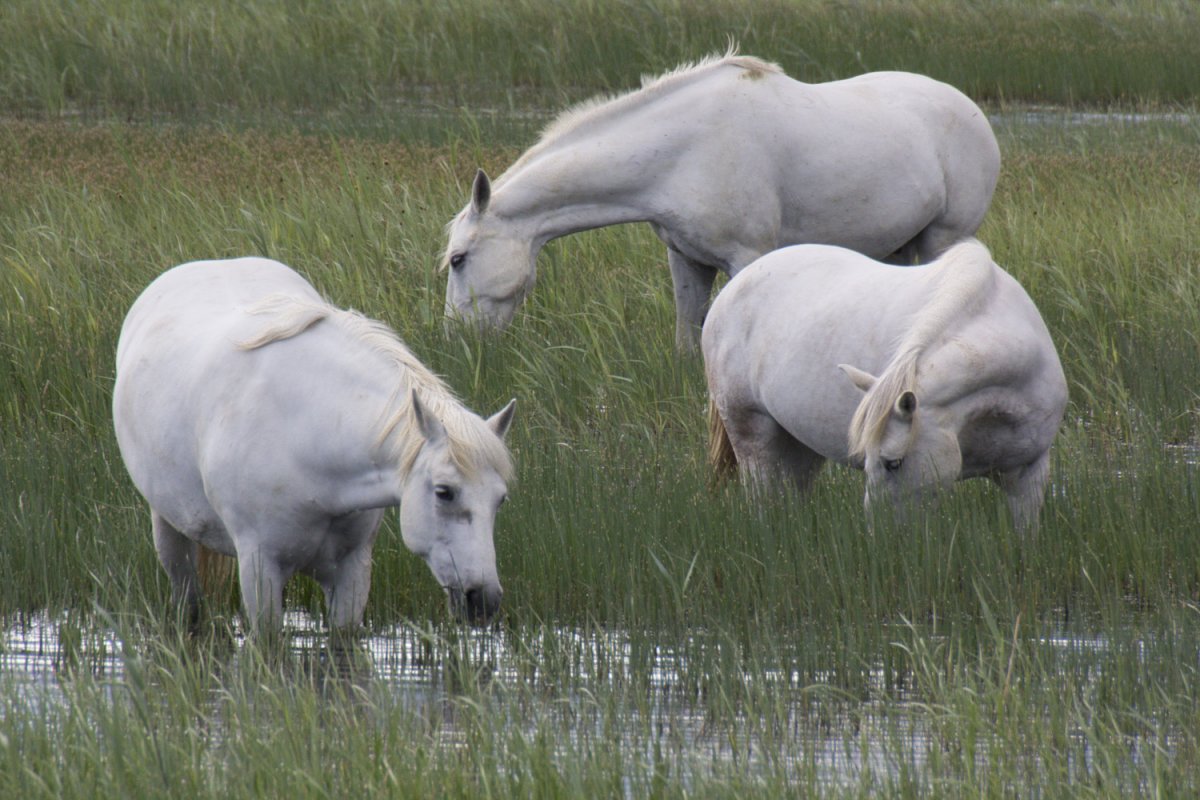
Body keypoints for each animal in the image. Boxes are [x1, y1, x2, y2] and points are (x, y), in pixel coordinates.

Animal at [113, 257, 517, 633]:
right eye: (444, 492)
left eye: (500, 499)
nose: (484, 600)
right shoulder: (260, 569)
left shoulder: (352, 572)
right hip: (169, 532)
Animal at [443, 49, 1001, 351]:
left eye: (458, 258)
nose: (458, 339)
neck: (685, 149)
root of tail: (971, 109)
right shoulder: (686, 258)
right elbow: (687, 340)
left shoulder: (747, 257)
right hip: (899, 247)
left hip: (944, 238)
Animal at [703, 240, 1067, 534]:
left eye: (892, 462)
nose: (879, 534)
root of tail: (732, 288)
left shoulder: (1028, 476)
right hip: (752, 436)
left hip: (799, 447)